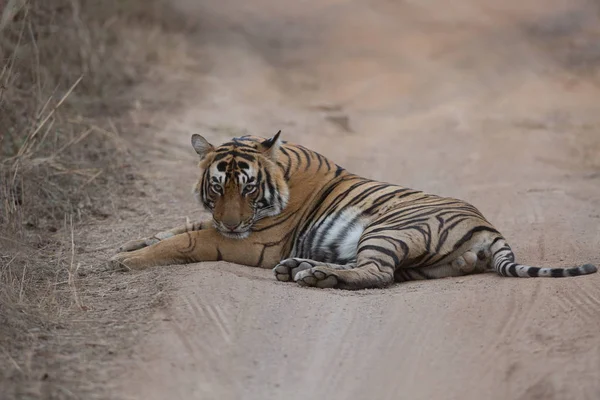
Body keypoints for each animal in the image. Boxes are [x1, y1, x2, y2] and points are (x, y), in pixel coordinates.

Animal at [110, 132, 596, 290]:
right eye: (217, 186)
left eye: (248, 188)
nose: (231, 222)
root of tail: (489, 228)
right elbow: (181, 226)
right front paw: (130, 242)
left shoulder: (254, 243)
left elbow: (189, 239)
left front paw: (124, 260)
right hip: (420, 259)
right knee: (383, 272)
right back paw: (304, 269)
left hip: (390, 228)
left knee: (377, 274)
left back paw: (312, 275)